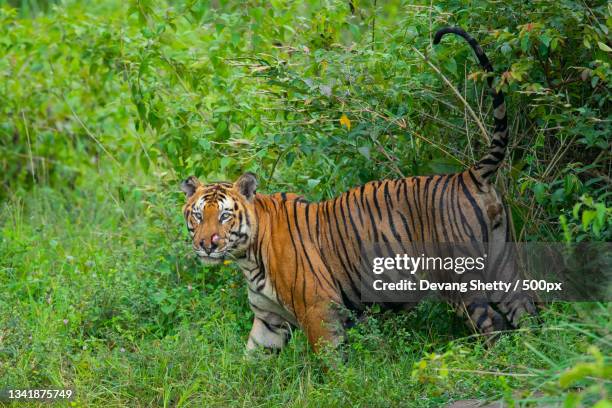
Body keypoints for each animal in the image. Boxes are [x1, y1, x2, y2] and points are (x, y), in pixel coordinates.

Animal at [180, 27, 536, 352]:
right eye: (197, 216)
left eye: (225, 216)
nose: (207, 245)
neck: (248, 257)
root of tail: (471, 174)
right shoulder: (269, 321)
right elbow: (251, 362)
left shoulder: (319, 308)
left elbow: (331, 360)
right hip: (503, 266)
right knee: (527, 311)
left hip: (460, 281)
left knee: (493, 325)